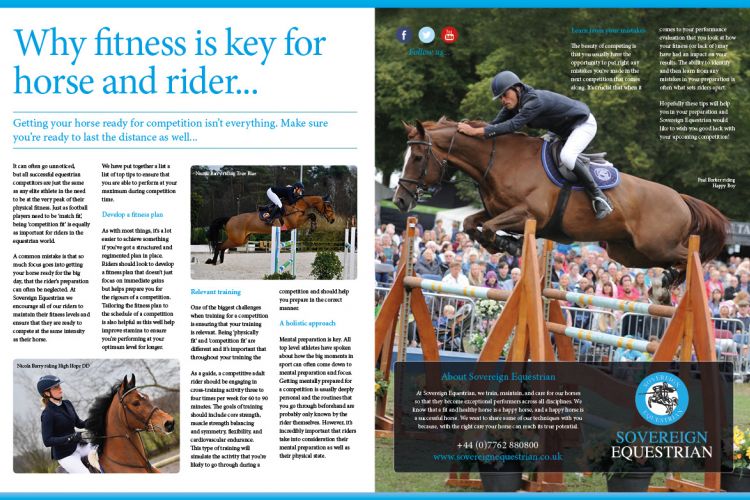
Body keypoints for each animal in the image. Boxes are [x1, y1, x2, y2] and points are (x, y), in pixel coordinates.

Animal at [204, 195, 336, 265]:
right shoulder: (295, 222)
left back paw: (219, 261)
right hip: (237, 239)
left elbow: (312, 215)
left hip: (241, 240)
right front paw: (311, 229)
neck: (297, 206)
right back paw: (213, 261)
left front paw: (312, 228)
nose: (333, 220)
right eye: (328, 206)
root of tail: (230, 218)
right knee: (220, 245)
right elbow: (312, 215)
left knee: (222, 245)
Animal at [393, 118, 727, 288]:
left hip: (656, 244)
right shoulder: (495, 210)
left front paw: (509, 244)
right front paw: (502, 245)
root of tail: (680, 198)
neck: (500, 160)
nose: (400, 200)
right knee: (670, 261)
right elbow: (471, 224)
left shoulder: (530, 215)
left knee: (693, 256)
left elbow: (488, 227)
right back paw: (667, 283)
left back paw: (673, 281)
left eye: (419, 157)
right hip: (628, 253)